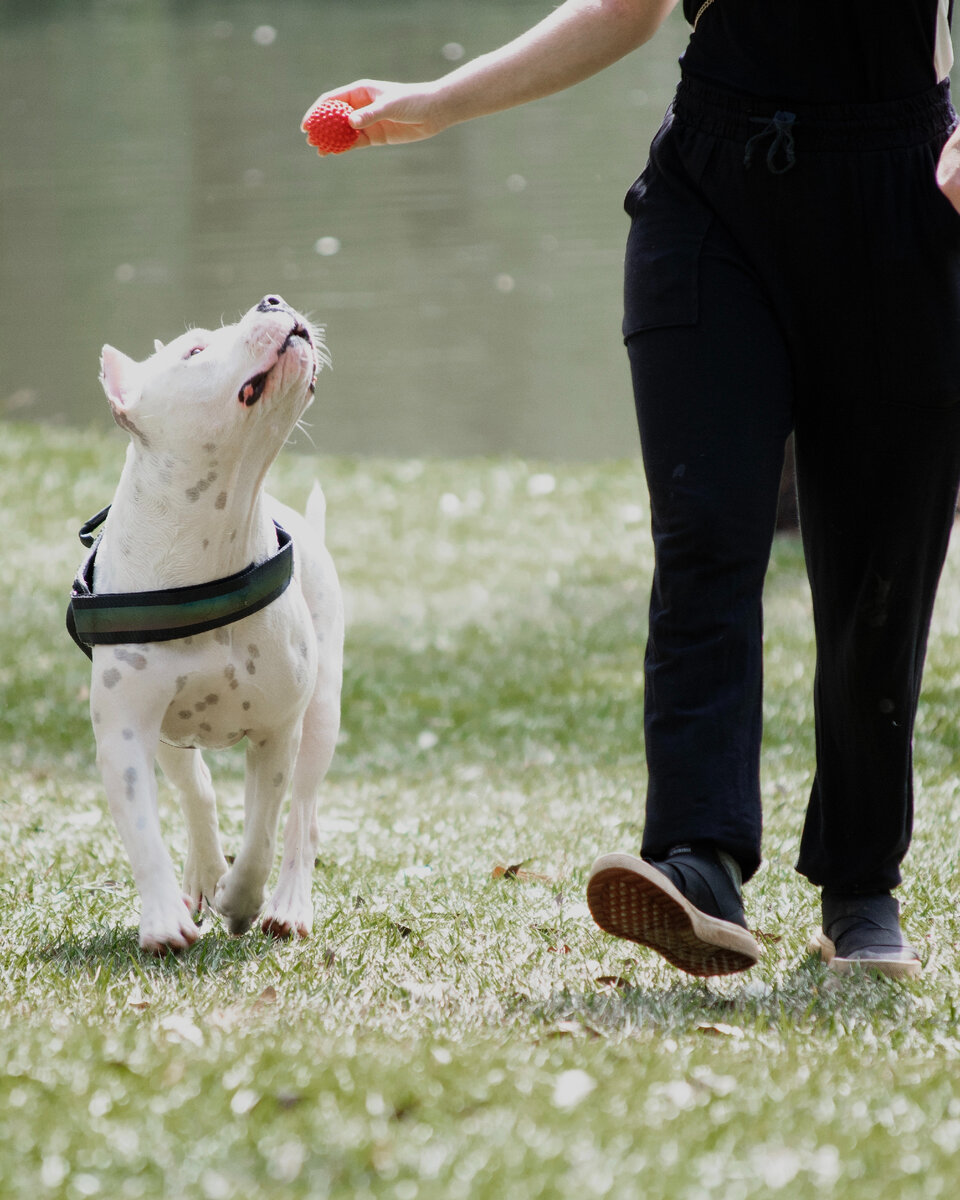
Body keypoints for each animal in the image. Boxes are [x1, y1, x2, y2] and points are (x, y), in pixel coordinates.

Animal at [69, 295, 345, 950]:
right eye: (194, 350)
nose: (273, 300)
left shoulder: (277, 729)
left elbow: (263, 833)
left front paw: (241, 900)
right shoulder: (125, 732)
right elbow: (143, 829)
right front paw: (163, 919)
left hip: (321, 712)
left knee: (300, 814)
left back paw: (287, 904)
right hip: (172, 735)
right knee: (196, 789)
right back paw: (200, 872)